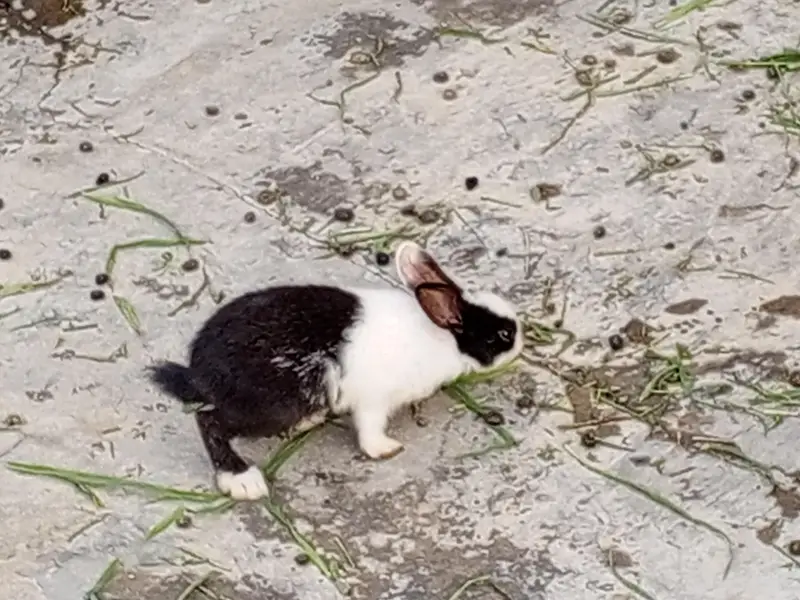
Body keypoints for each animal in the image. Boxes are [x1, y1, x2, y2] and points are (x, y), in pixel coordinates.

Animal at [147, 241, 524, 501]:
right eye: (502, 335)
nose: (521, 337)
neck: (443, 337)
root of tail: (199, 369)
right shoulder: (374, 401)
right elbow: (370, 431)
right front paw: (387, 449)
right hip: (269, 405)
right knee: (209, 421)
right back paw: (241, 480)